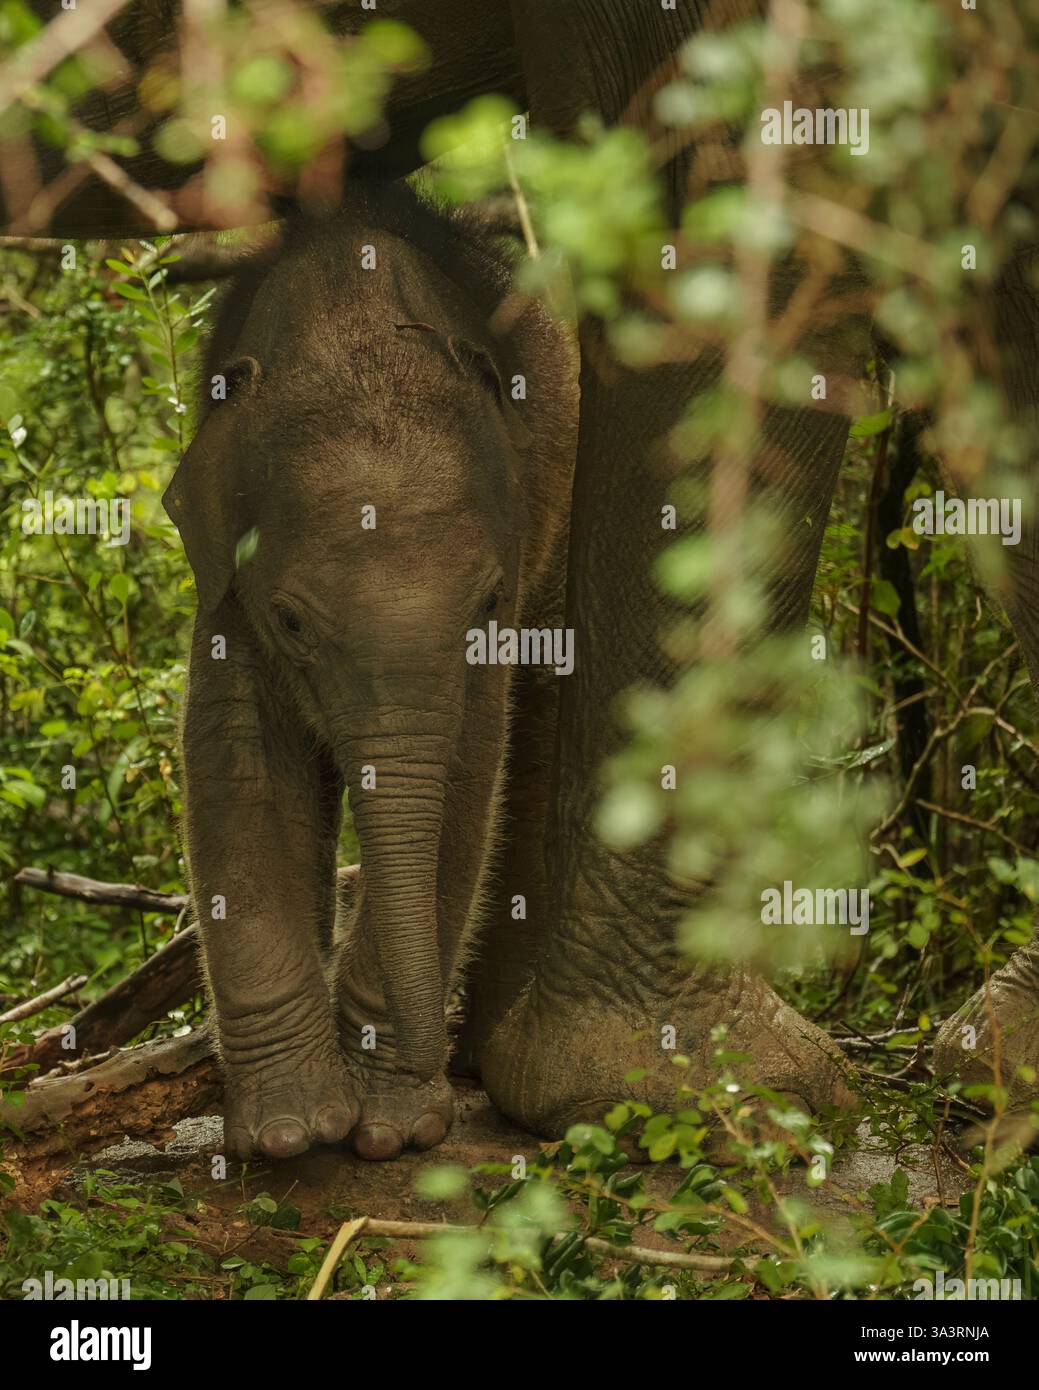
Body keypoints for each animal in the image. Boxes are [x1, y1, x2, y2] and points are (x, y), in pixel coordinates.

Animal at [8, 1, 1037, 1151]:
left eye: (486, 602)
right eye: (293, 620)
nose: (404, 1097)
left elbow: (470, 775)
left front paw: (389, 1126)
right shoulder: (227, 584)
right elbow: (237, 774)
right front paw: (289, 1134)